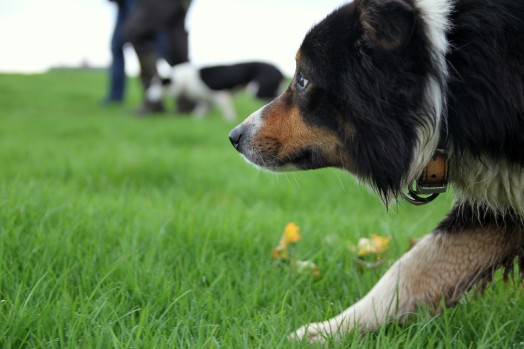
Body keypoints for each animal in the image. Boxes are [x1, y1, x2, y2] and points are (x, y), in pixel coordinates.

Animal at [145, 61, 284, 121]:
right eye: (151, 84)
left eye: (156, 85)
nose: (148, 96)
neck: (183, 80)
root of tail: (279, 70)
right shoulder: (207, 100)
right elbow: (198, 114)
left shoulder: (221, 96)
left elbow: (228, 114)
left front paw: (230, 120)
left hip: (259, 91)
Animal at [228, 0, 524, 342]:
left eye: (302, 79)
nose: (234, 136)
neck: (451, 77)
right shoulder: (499, 199)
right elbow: (413, 267)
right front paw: (326, 332)